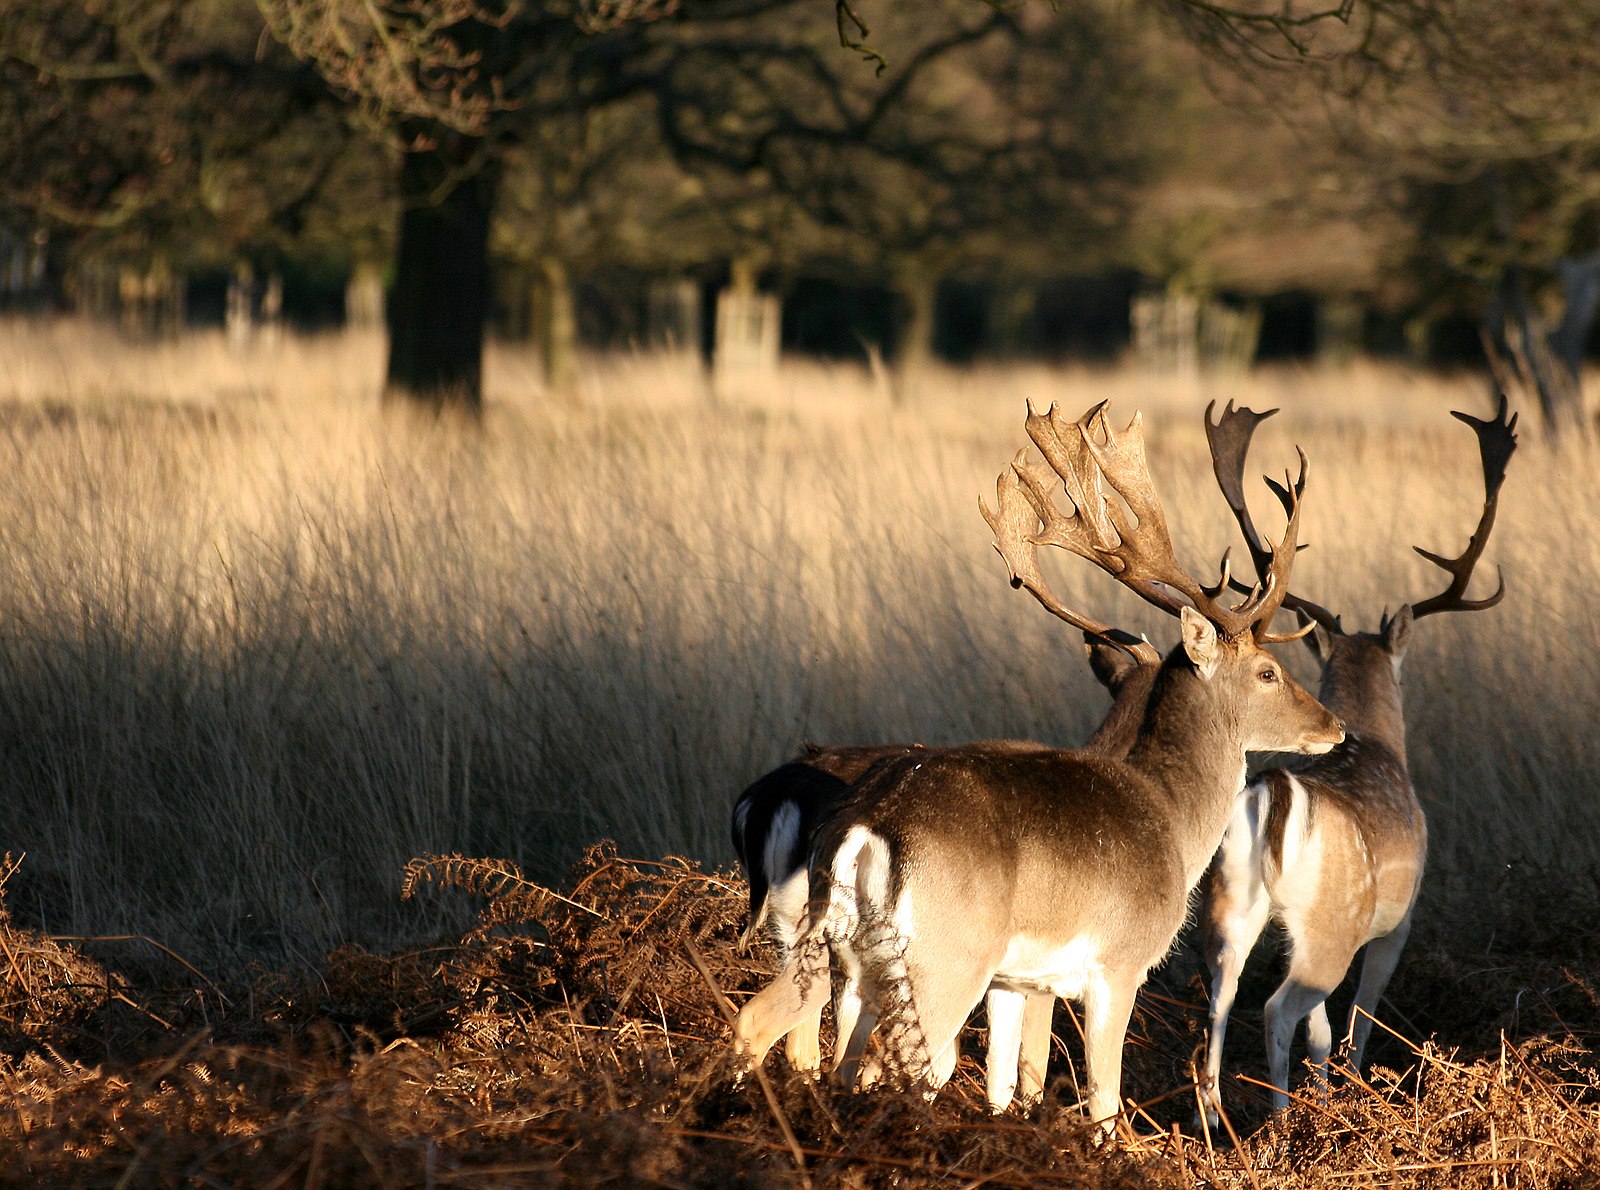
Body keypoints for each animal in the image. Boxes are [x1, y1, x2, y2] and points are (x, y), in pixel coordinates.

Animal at [1203, 393, 1523, 1126]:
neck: (1378, 746)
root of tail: (1273, 797)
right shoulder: (1397, 921)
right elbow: (1356, 1022)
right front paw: (1348, 1096)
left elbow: (1323, 1033)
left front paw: (1328, 1095)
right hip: (1333, 924)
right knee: (1277, 1008)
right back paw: (1283, 1127)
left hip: (1230, 907)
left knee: (1220, 1003)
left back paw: (1215, 1123)